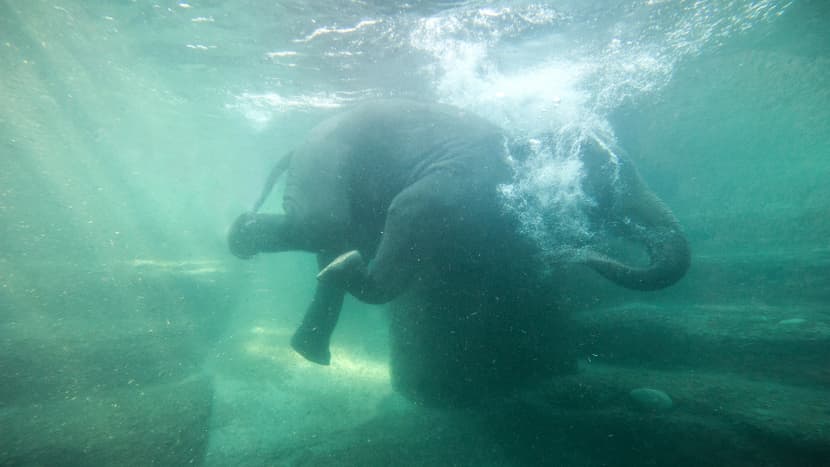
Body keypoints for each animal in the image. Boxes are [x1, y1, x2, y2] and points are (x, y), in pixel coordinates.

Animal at [228, 99, 690, 406]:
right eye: (614, 183)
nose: (580, 253)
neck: (525, 142)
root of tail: (293, 149)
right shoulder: (470, 177)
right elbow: (409, 205)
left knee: (334, 238)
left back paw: (312, 336)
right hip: (325, 159)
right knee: (323, 225)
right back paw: (245, 238)